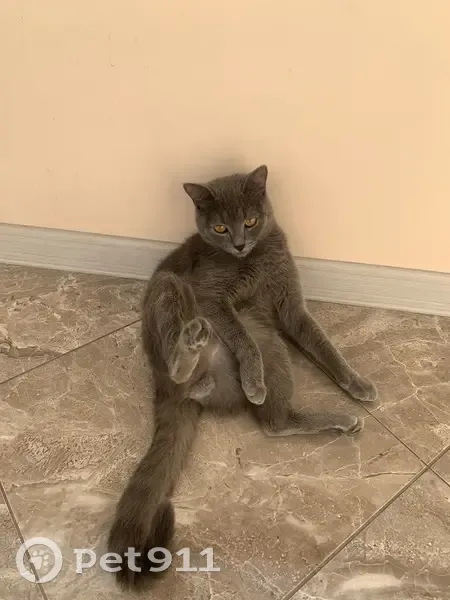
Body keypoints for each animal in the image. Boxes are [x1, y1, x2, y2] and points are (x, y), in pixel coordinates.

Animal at [107, 164, 377, 588]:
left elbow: (324, 346)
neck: (256, 258)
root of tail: (168, 390)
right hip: (173, 290)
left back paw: (339, 418)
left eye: (250, 221)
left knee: (275, 422)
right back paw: (195, 353)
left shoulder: (290, 306)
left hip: (271, 342)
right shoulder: (214, 298)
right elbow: (241, 340)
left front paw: (357, 383)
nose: (236, 244)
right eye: (219, 228)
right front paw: (253, 381)